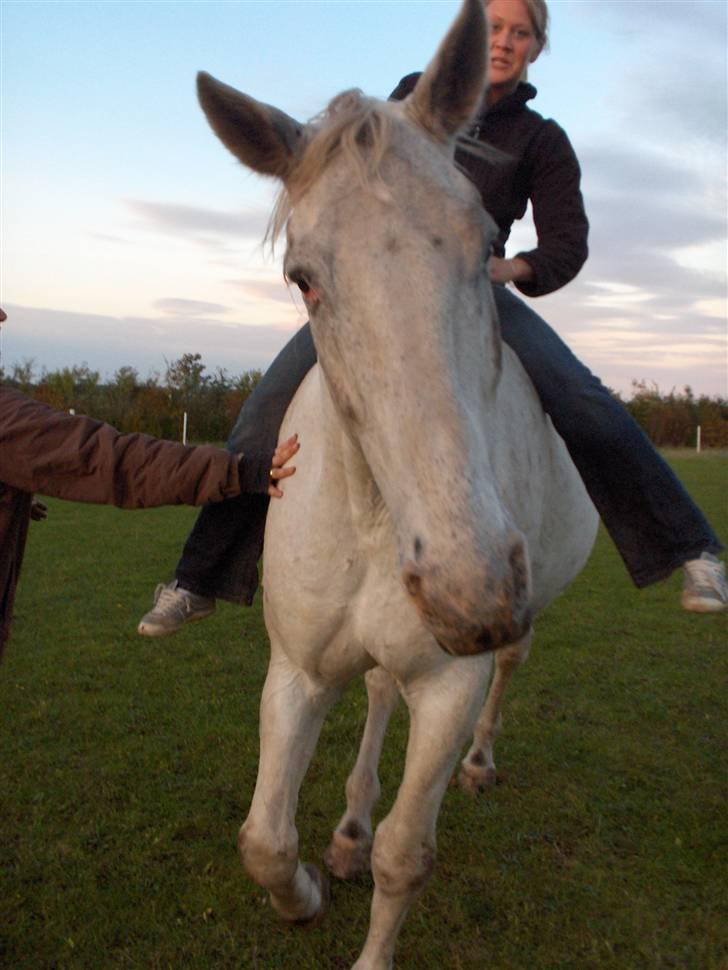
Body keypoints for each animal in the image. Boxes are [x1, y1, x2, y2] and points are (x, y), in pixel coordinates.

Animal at [195, 3, 596, 964]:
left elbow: (407, 860)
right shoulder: (297, 672)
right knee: (378, 692)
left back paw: (480, 765)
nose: (465, 592)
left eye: (488, 247)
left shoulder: (452, 687)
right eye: (303, 276)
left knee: (513, 664)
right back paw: (346, 832)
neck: (379, 516)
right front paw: (306, 889)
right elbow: (264, 840)